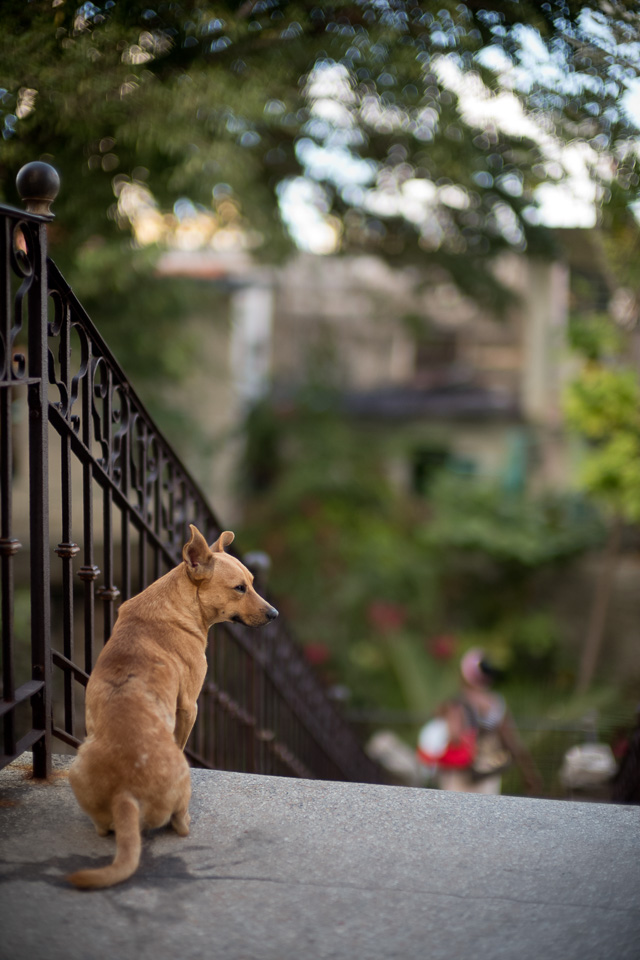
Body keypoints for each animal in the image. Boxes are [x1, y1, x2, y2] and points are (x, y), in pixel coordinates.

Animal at [68, 528, 278, 888]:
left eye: (252, 582)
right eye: (240, 588)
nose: (274, 614)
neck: (177, 603)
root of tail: (125, 795)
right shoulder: (189, 706)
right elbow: (183, 738)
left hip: (76, 770)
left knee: (102, 827)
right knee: (178, 823)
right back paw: (186, 821)